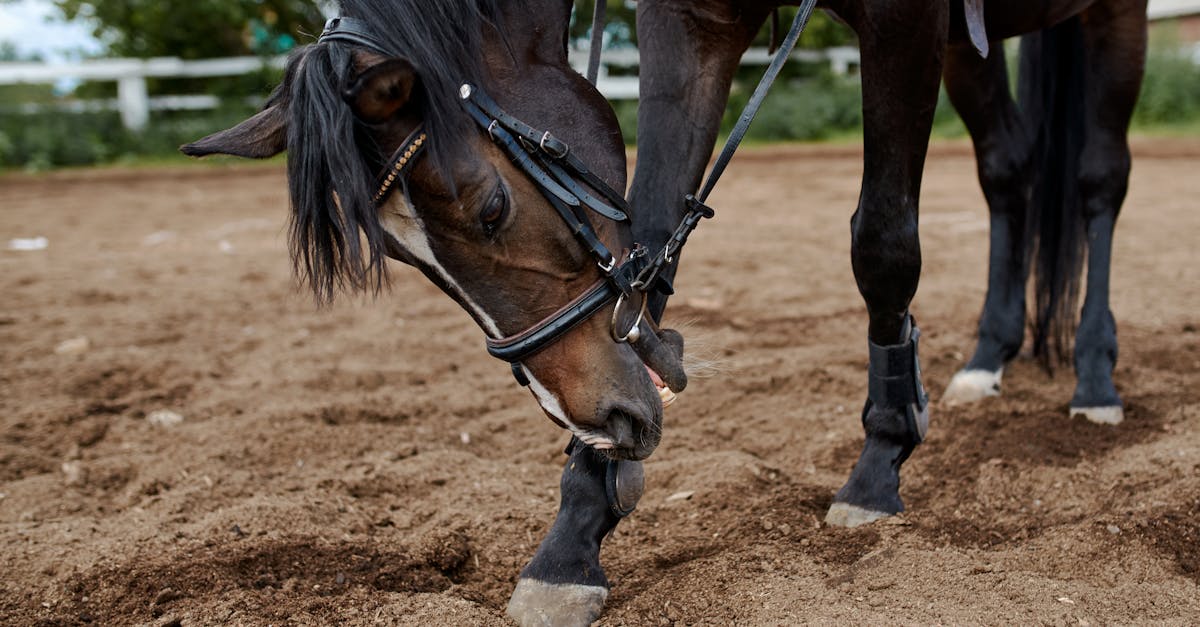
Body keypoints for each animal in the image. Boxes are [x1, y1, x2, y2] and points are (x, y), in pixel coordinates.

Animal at [629, 0, 1147, 529]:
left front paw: (879, 461)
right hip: (968, 46)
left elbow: (883, 244)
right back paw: (987, 358)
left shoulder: (904, 22)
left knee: (1101, 176)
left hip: (1114, 16)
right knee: (1008, 169)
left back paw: (1095, 376)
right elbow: (647, 227)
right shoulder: (689, 19)